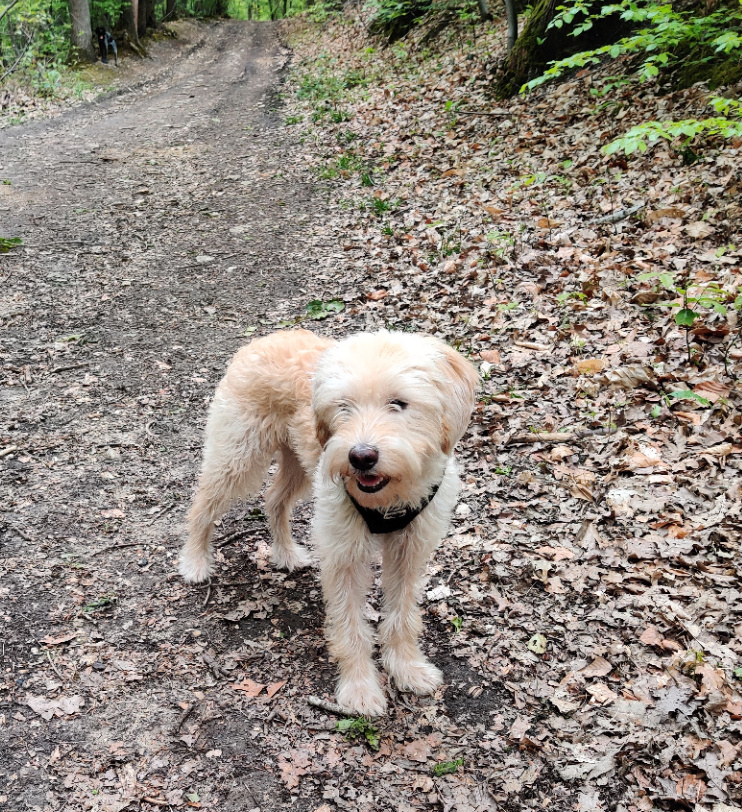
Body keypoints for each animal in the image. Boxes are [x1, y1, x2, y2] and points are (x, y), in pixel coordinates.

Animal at [179, 326, 476, 712]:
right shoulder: (344, 555)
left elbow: (402, 615)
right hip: (239, 456)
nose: (360, 457)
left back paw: (286, 553)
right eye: (343, 406)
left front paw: (408, 668)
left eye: (398, 403)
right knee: (202, 504)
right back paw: (195, 561)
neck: (389, 498)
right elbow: (351, 626)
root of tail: (266, 337)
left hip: (298, 462)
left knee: (274, 500)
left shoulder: (410, 552)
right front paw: (360, 689)